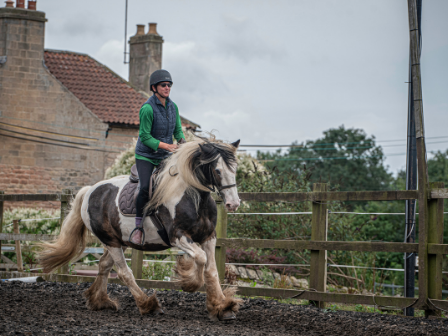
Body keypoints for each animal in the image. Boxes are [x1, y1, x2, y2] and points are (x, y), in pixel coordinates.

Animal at [37, 136, 242, 320]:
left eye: (234, 169)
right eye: (217, 170)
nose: (233, 204)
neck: (191, 197)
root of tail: (90, 191)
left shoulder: (209, 237)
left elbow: (212, 270)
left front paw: (222, 306)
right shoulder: (178, 236)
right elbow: (200, 258)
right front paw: (189, 282)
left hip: (118, 241)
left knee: (104, 265)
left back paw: (99, 301)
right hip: (110, 241)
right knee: (124, 273)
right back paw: (148, 305)